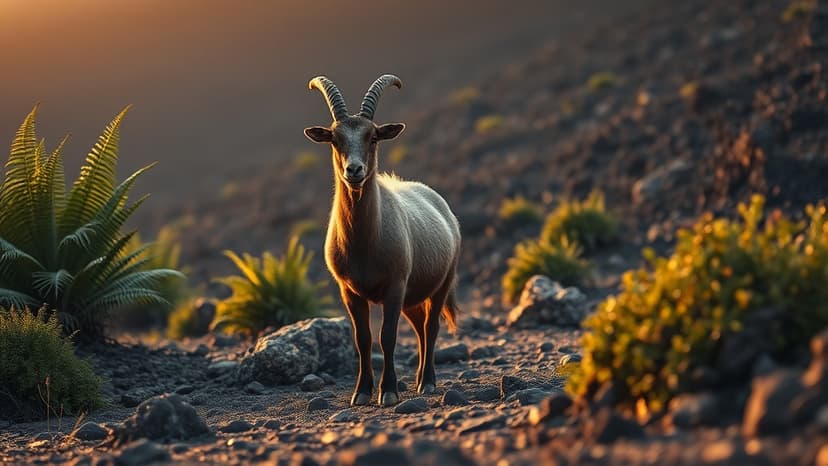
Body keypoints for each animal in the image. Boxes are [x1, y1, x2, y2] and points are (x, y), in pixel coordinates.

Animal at [304, 75, 461, 407]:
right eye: (335, 138)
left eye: (373, 136)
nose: (354, 170)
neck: (364, 243)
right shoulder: (349, 291)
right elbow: (362, 339)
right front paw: (361, 392)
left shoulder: (394, 286)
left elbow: (387, 336)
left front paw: (387, 391)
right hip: (411, 297)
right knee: (419, 328)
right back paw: (418, 380)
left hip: (441, 283)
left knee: (431, 326)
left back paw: (427, 382)